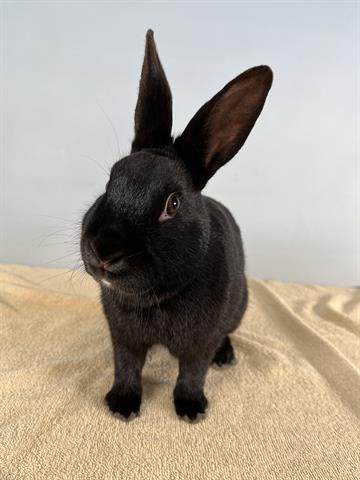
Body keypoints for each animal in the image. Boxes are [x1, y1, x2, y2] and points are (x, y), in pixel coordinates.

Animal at [81, 31, 272, 420]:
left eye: (172, 204)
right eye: (111, 181)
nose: (103, 250)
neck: (156, 299)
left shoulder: (201, 342)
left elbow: (192, 373)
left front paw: (191, 409)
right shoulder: (123, 337)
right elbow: (126, 367)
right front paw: (122, 405)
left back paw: (226, 357)